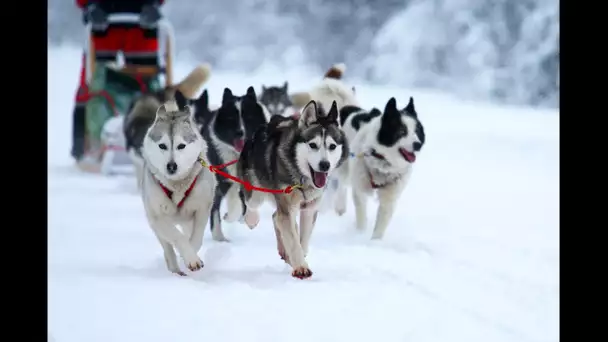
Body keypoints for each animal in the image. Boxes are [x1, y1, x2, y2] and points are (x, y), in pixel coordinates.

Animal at [140, 93, 216, 276]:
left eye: (181, 146)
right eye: (162, 145)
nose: (171, 166)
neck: (177, 185)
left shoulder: (202, 209)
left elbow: (196, 238)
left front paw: (192, 256)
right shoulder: (158, 216)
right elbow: (177, 237)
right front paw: (190, 258)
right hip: (155, 224)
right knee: (168, 247)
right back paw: (175, 269)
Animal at [200, 86, 268, 240]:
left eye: (248, 117)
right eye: (231, 118)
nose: (240, 132)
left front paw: (250, 219)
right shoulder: (224, 179)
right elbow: (233, 203)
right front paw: (230, 217)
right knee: (215, 208)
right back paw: (219, 236)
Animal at [236, 100, 346, 280]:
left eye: (332, 146)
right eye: (313, 145)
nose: (325, 165)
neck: (302, 179)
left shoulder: (309, 209)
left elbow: (302, 239)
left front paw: (298, 256)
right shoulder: (286, 206)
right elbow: (293, 240)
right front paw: (301, 267)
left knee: (276, 217)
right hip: (256, 190)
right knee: (254, 205)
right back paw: (252, 219)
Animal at [338, 96, 428, 239]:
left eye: (417, 131)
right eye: (402, 131)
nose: (418, 144)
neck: (383, 161)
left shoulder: (389, 198)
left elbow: (380, 224)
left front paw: (374, 242)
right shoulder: (360, 190)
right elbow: (361, 215)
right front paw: (359, 235)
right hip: (343, 167)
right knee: (341, 184)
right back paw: (340, 207)